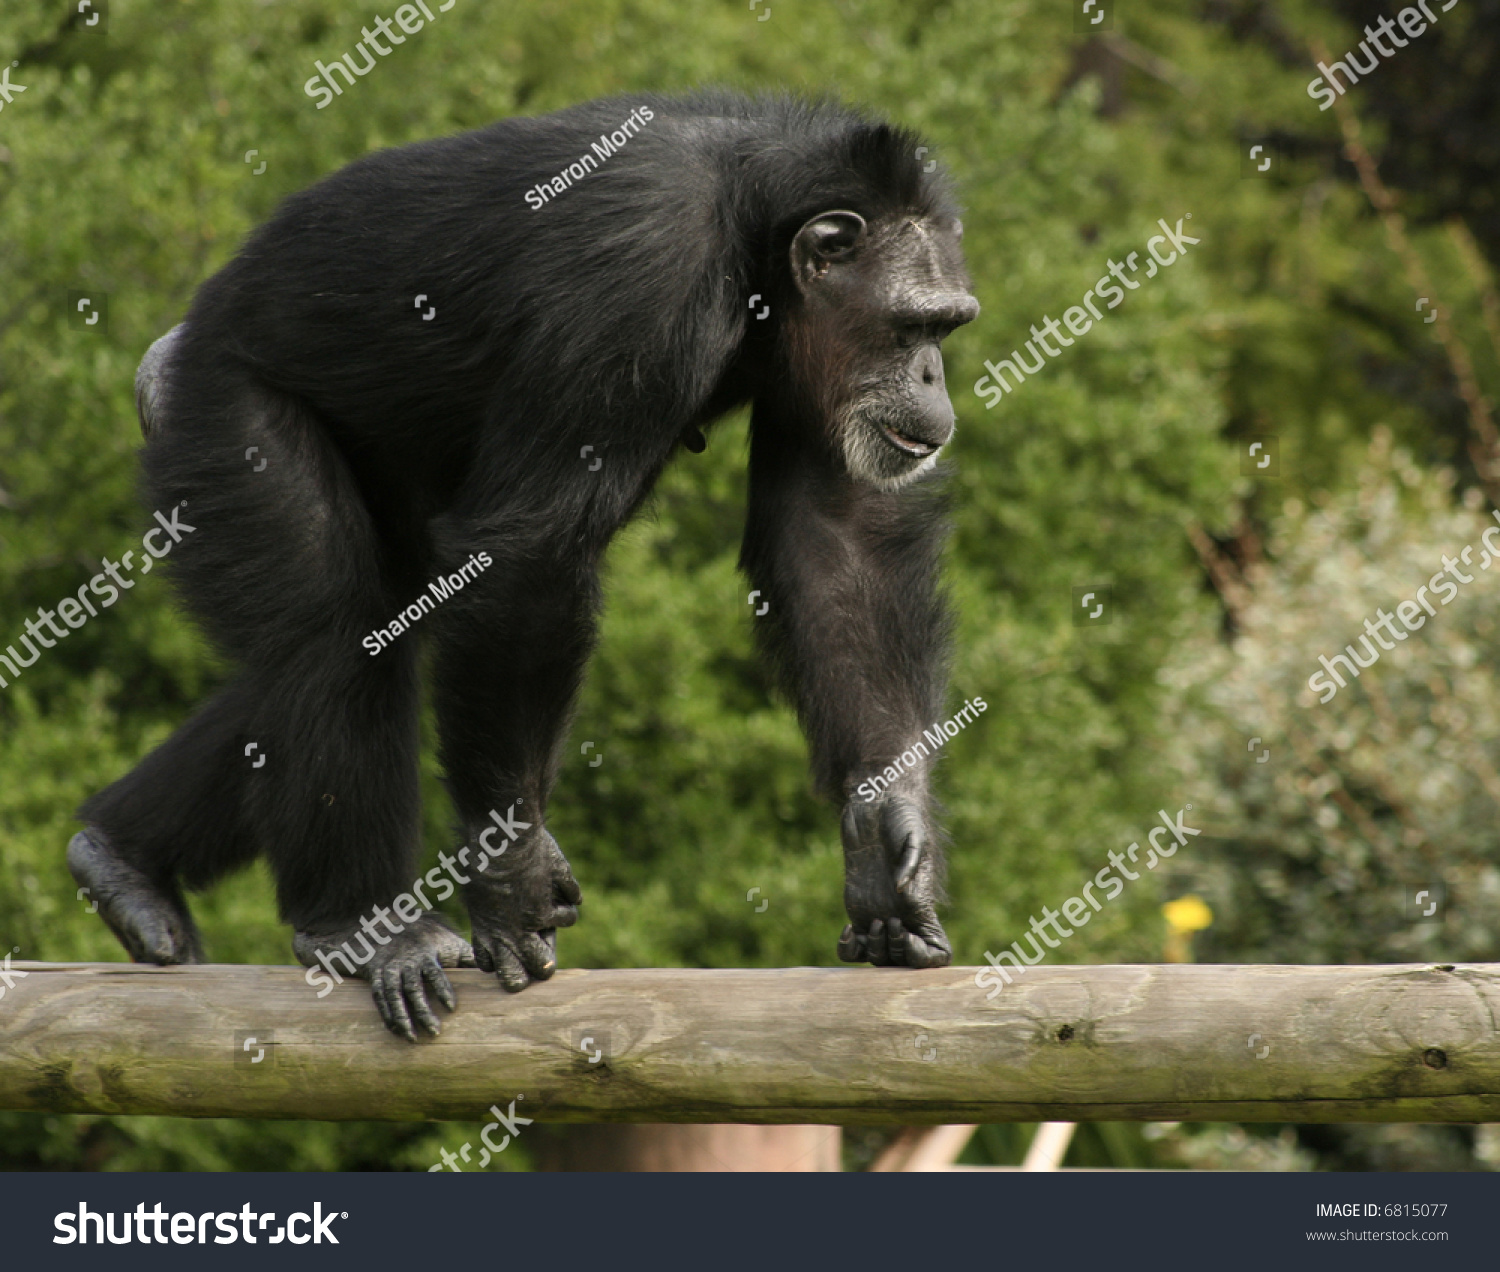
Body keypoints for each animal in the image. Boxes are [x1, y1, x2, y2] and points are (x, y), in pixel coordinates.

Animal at [70, 91, 978, 1044]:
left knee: (338, 650)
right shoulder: (638, 277)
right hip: (224, 414)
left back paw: (123, 862)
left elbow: (839, 542)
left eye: (946, 327)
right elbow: (531, 552)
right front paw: (512, 874)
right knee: (332, 638)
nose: (931, 372)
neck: (754, 243)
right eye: (913, 326)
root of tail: (168, 357)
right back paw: (362, 925)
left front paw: (886, 836)